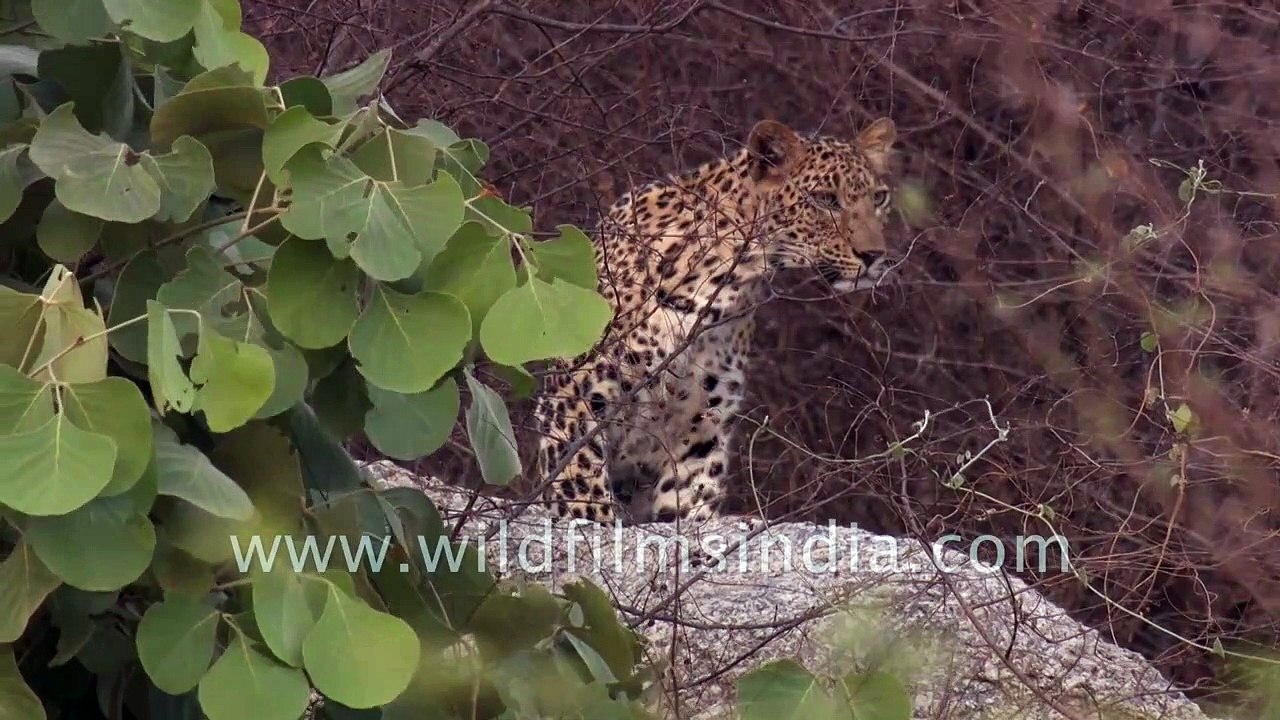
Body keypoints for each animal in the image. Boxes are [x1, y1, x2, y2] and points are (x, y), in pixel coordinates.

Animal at [532, 116, 898, 526]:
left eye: (879, 198)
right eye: (826, 200)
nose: (874, 255)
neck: (723, 288)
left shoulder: (701, 433)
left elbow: (685, 510)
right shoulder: (575, 405)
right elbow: (584, 500)